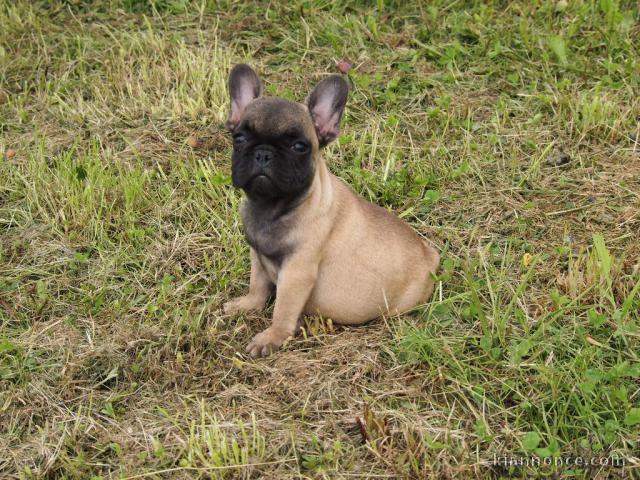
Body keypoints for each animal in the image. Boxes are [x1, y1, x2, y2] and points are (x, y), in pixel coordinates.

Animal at [222, 62, 438, 356]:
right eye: (239, 138)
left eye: (299, 146)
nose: (263, 153)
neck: (272, 207)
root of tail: (430, 256)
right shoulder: (258, 255)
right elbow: (257, 285)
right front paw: (246, 305)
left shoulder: (297, 272)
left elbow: (283, 308)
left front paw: (272, 337)